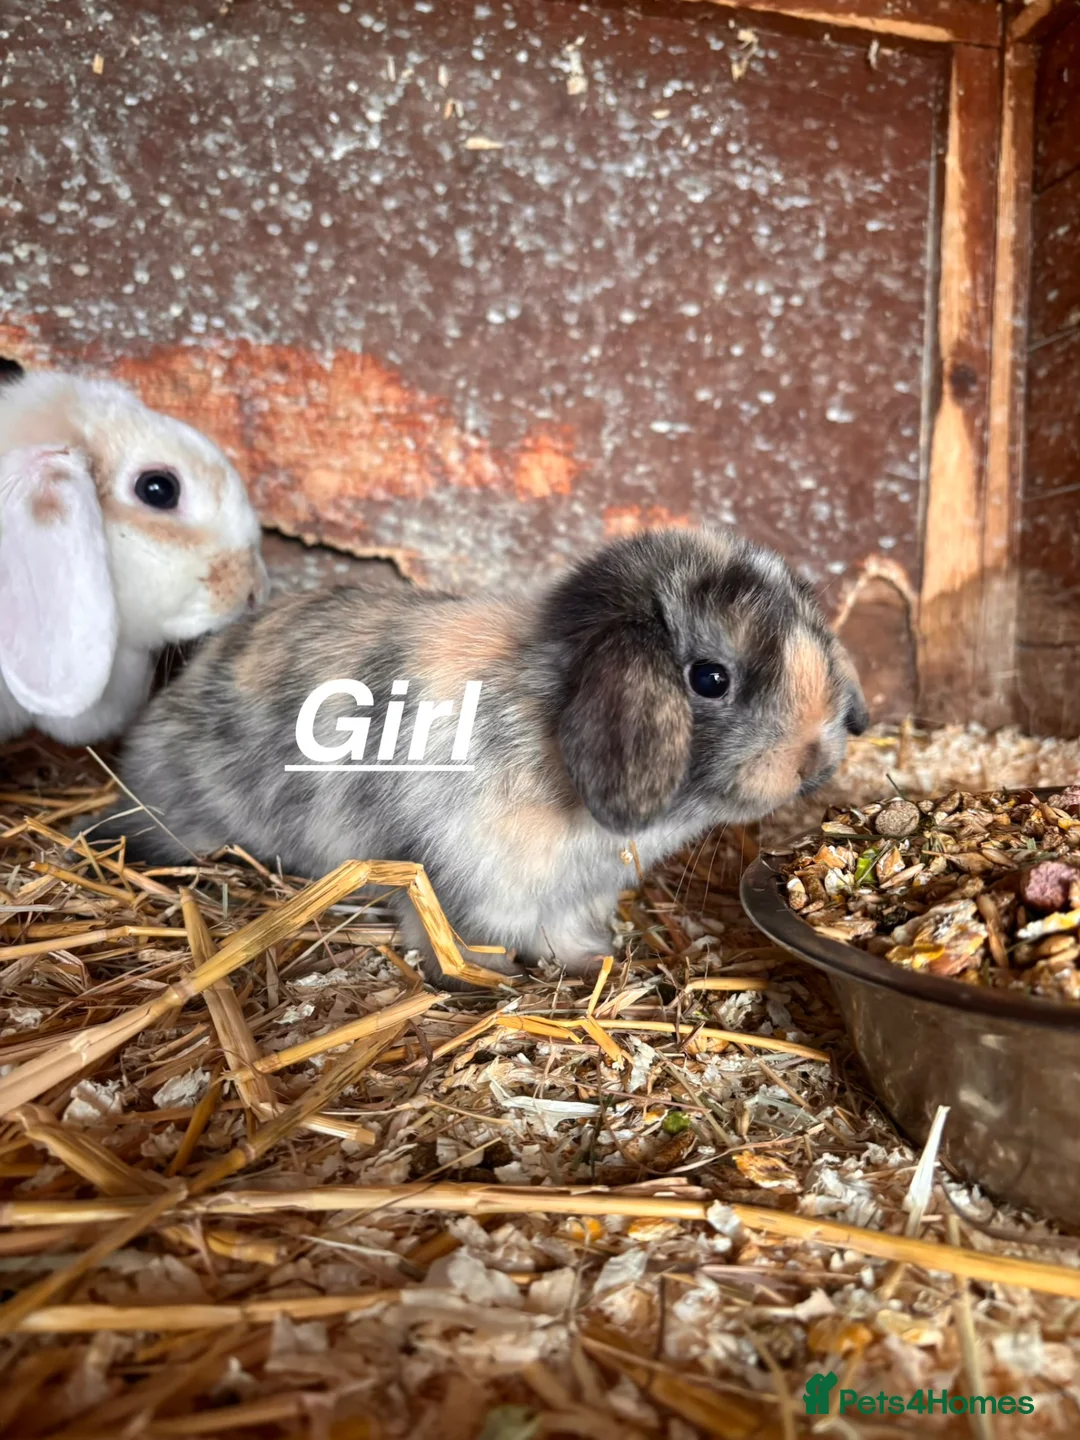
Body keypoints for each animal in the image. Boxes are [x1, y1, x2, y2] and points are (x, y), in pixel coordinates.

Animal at [94, 527, 867, 984]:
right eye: (709, 679)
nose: (815, 761)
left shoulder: (573, 893)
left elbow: (566, 930)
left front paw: (590, 956)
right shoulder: (465, 880)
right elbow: (460, 934)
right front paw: (484, 975)